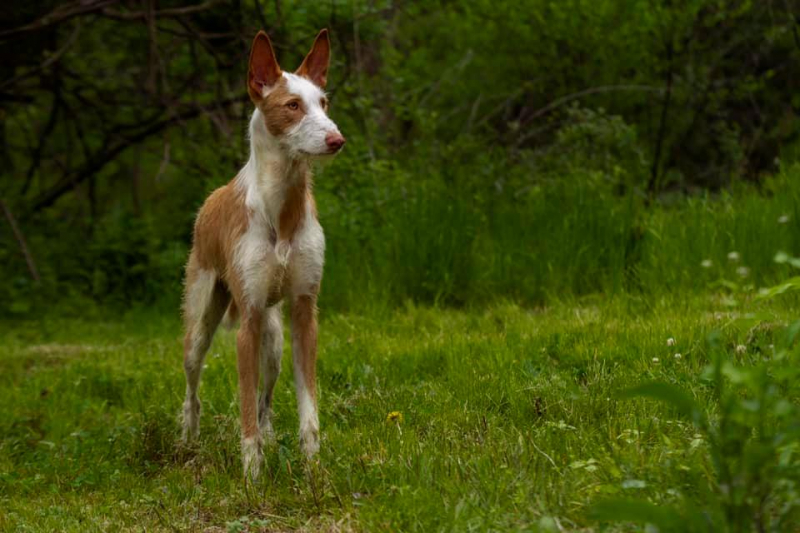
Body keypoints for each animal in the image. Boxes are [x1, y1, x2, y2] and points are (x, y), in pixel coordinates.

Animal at [181, 29, 344, 478]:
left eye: (323, 103)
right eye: (292, 106)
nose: (336, 140)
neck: (281, 212)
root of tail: (210, 201)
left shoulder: (305, 314)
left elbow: (307, 408)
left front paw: (313, 469)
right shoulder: (248, 323)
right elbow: (243, 410)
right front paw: (252, 478)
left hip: (274, 342)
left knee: (266, 401)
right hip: (202, 323)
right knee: (193, 387)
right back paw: (187, 440)